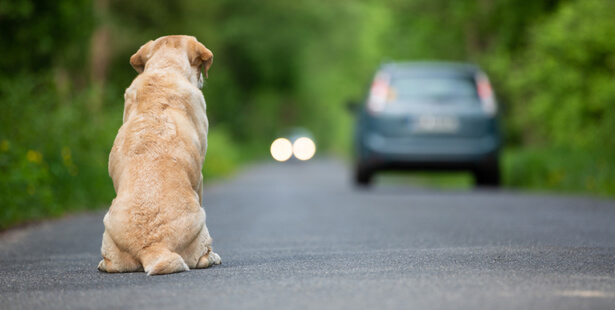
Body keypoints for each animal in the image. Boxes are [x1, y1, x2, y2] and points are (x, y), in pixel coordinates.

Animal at [97, 35, 220, 274]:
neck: (165, 68)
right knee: (202, 257)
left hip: (108, 229)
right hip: (201, 223)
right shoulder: (199, 177)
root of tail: (153, 246)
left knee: (110, 264)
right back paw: (212, 257)